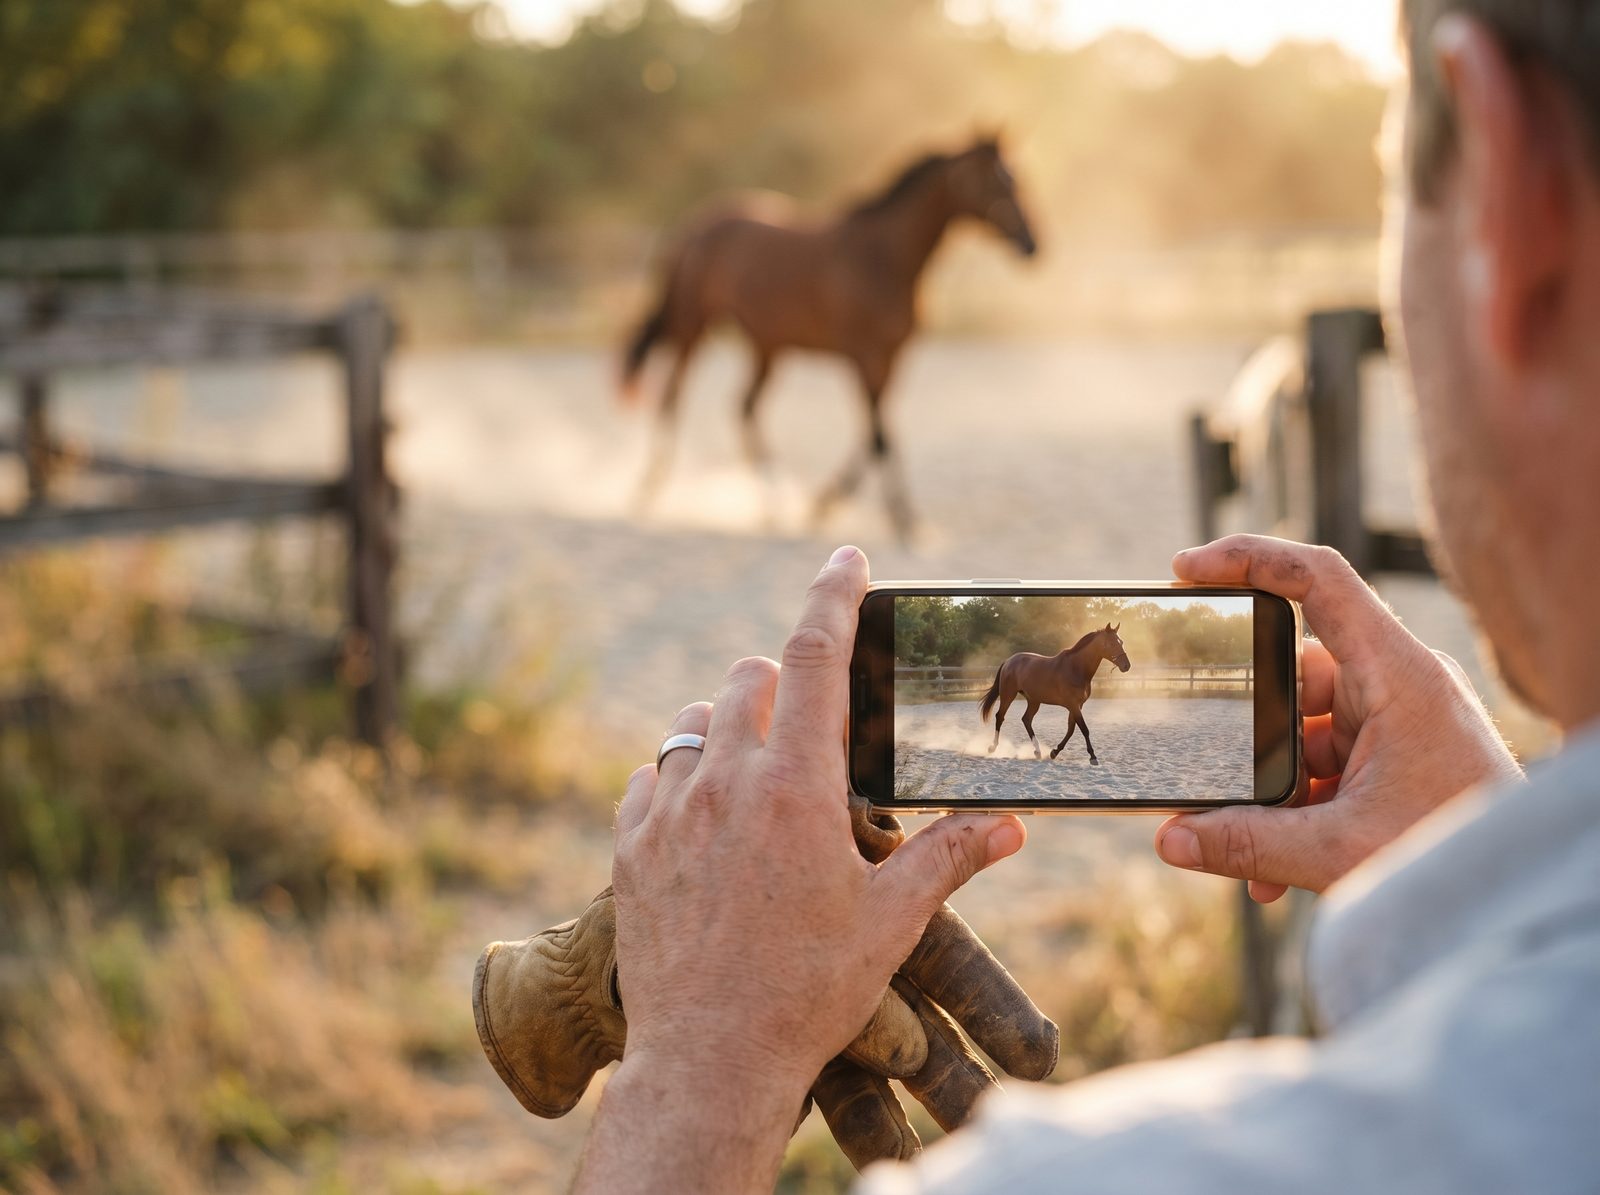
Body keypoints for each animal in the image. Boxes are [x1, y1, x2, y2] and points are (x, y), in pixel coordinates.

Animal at [619, 135, 1036, 540]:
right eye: (993, 181)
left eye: (1015, 178)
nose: (1031, 243)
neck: (884, 258)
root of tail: (694, 225)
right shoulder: (864, 357)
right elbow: (879, 436)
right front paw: (900, 519)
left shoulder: (891, 359)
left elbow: (877, 432)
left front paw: (826, 505)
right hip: (693, 327)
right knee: (673, 397)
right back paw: (651, 489)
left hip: (766, 347)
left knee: (745, 406)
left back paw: (772, 503)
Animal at [978, 624, 1131, 764]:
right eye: (1111, 643)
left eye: (1122, 642)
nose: (1126, 666)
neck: (1076, 668)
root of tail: (1008, 661)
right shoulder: (1073, 705)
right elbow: (1084, 729)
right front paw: (1093, 756)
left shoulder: (1077, 706)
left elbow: (1071, 729)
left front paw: (1054, 752)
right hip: (1008, 695)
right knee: (1000, 717)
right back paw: (992, 747)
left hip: (1034, 701)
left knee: (1026, 719)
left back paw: (1037, 751)